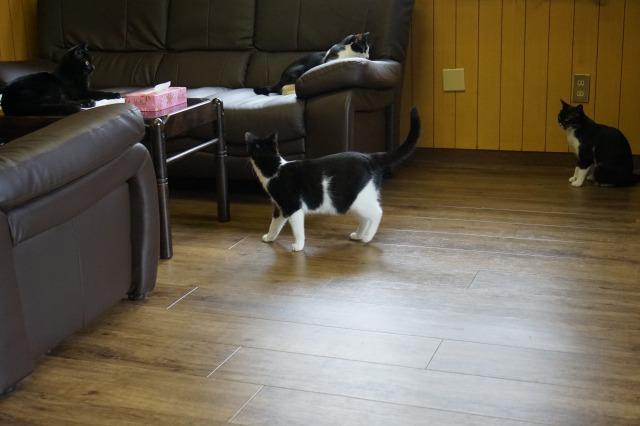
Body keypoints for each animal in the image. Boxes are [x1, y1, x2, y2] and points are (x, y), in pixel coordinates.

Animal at [247, 107, 420, 252]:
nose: (247, 135)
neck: (275, 169)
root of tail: (369, 157)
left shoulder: (293, 206)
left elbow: (298, 230)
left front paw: (299, 245)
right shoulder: (280, 208)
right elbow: (274, 224)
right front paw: (269, 237)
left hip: (357, 200)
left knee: (377, 212)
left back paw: (367, 237)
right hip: (352, 201)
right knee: (366, 218)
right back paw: (358, 235)